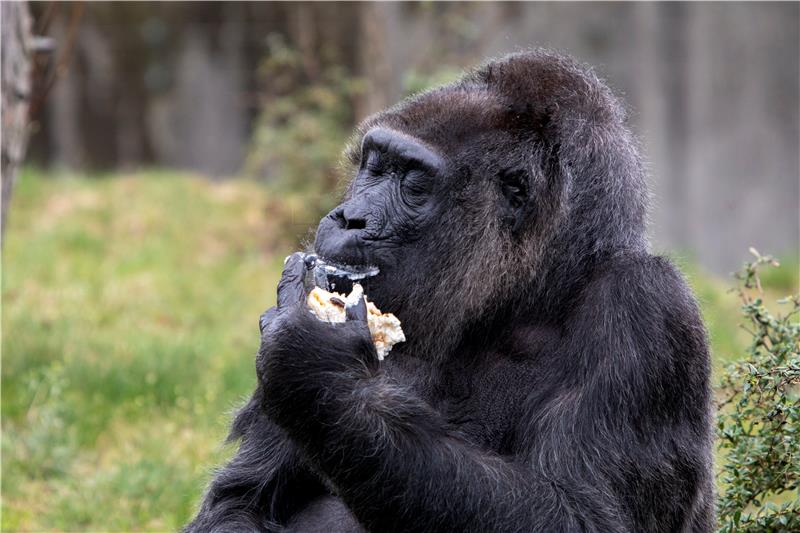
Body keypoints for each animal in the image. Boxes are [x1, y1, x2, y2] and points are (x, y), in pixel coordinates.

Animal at [189, 51, 720, 532]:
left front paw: (320, 372)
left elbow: (582, 514)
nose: (348, 217)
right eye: (375, 167)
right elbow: (239, 501)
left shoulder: (646, 308)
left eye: (413, 181)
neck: (525, 299)